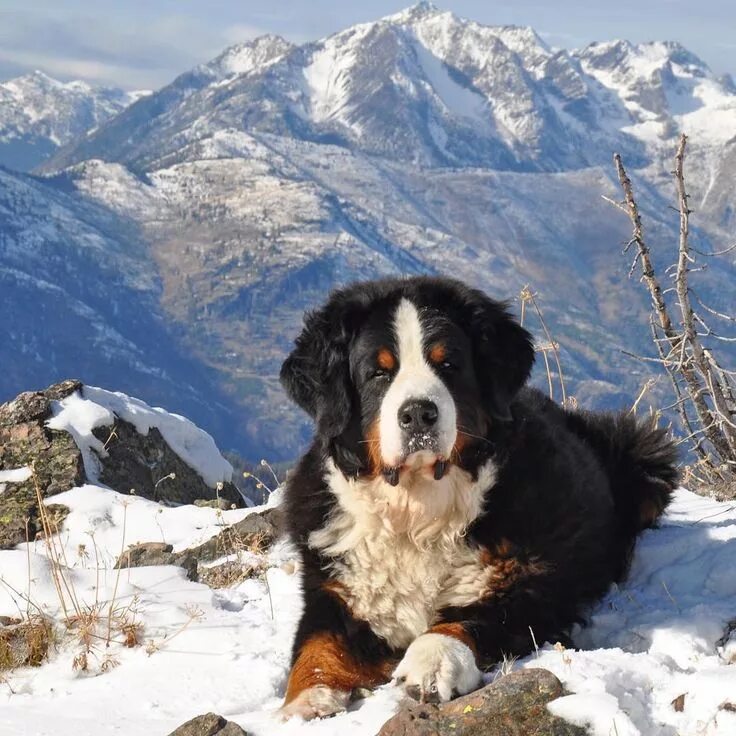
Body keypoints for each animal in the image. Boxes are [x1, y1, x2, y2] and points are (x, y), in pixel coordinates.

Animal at [278, 274, 680, 720]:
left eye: (448, 365)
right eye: (377, 373)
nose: (418, 413)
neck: (416, 513)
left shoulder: (526, 587)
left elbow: (460, 622)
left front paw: (430, 665)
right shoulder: (335, 591)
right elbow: (315, 646)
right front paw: (304, 702)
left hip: (642, 456)